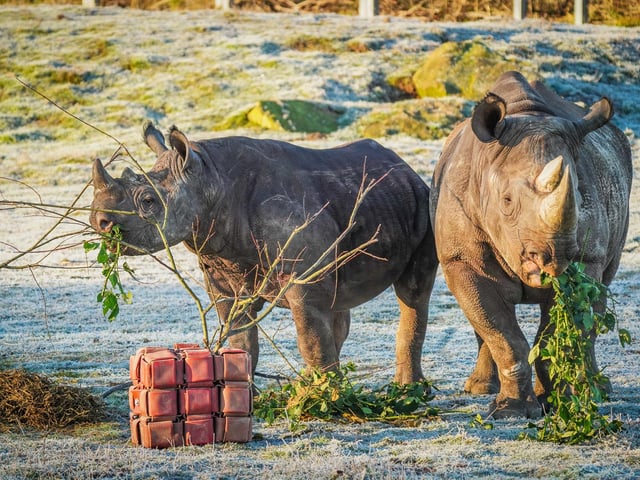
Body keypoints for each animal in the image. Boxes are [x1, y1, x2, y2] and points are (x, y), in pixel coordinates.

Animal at [90, 123, 438, 384]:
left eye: (148, 201)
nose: (99, 221)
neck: (210, 180)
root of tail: (406, 167)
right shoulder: (221, 274)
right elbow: (241, 339)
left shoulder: (302, 276)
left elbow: (310, 337)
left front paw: (323, 400)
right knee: (338, 300)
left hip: (426, 202)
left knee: (412, 294)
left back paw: (407, 390)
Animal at [430, 71, 632, 418]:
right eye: (506, 202)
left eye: (579, 197)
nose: (551, 259)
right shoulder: (460, 258)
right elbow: (500, 332)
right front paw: (511, 411)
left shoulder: (586, 258)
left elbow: (556, 333)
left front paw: (554, 402)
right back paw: (479, 388)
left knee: (601, 293)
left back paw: (594, 389)